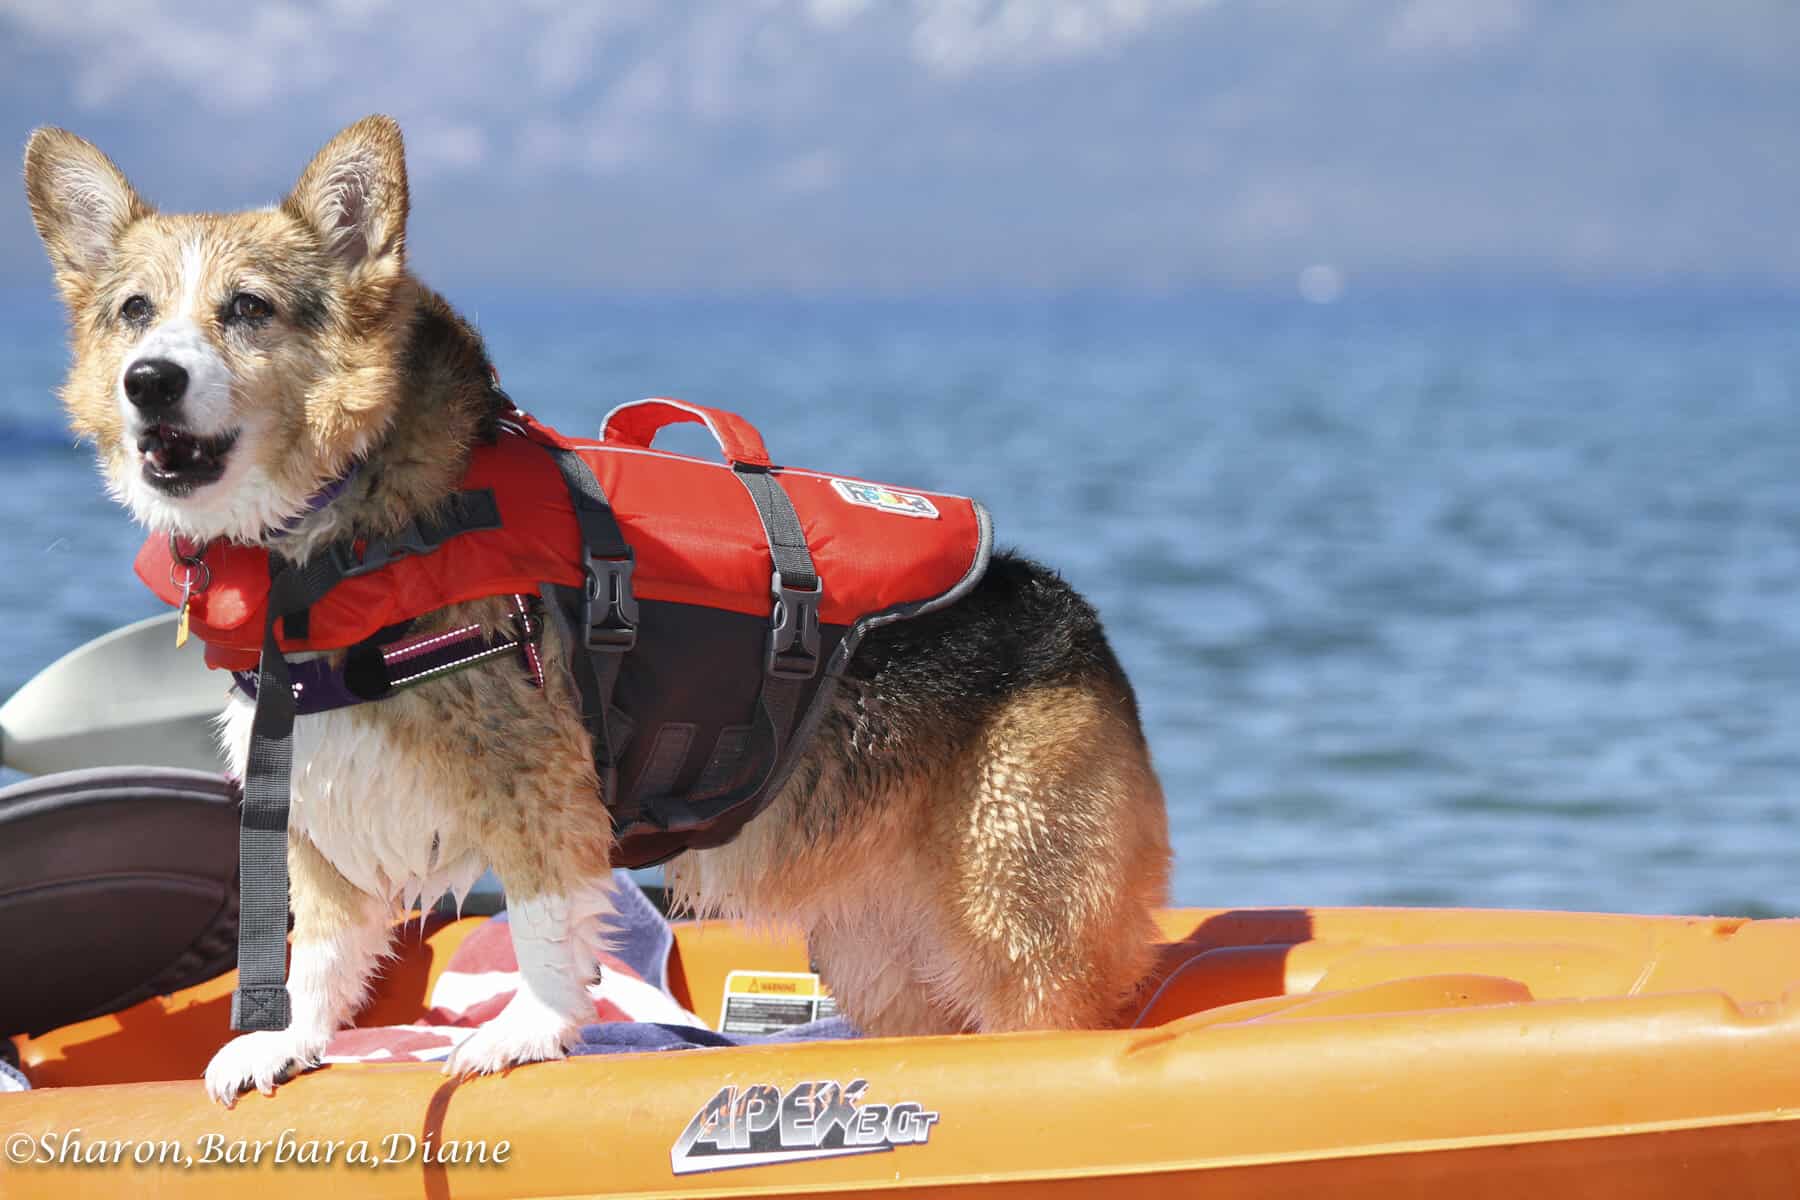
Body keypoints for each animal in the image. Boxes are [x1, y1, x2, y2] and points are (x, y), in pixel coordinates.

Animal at [28, 115, 1173, 1108]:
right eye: (135, 312)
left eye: (250, 308)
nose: (149, 383)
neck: (338, 521)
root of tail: (1073, 619)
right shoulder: (317, 784)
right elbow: (320, 944)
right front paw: (283, 1045)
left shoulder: (536, 777)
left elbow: (542, 917)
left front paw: (525, 1032)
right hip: (878, 953)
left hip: (1018, 921)